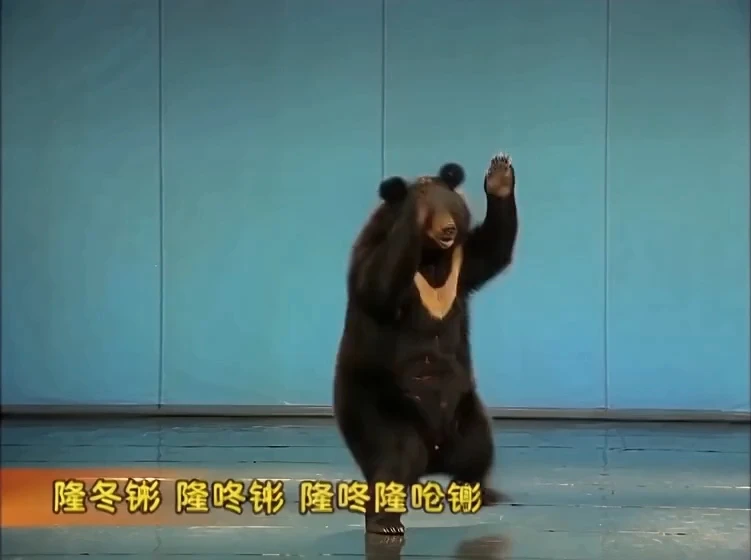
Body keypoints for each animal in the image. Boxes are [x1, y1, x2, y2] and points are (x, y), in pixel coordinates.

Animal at [333, 152, 519, 535]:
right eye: (432, 214)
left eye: (451, 207)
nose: (447, 230)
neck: (430, 258)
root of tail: (435, 455)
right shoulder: (372, 257)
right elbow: (379, 286)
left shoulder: (461, 265)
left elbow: (493, 248)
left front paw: (499, 174)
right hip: (375, 403)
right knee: (395, 456)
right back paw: (385, 521)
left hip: (465, 409)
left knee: (478, 447)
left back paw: (478, 490)